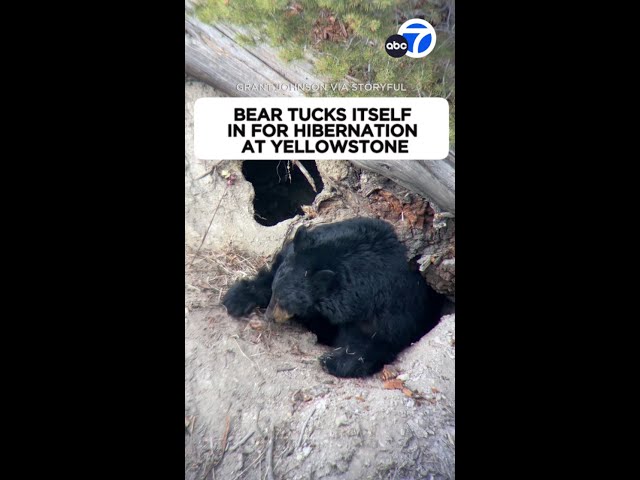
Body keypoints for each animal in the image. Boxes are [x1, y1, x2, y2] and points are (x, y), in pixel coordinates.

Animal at [222, 218, 442, 378]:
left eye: (286, 302)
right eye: (276, 293)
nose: (268, 317)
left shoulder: (391, 307)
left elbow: (377, 341)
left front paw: (333, 362)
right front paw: (237, 298)